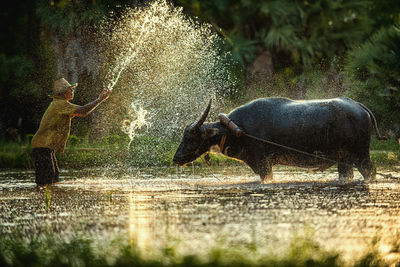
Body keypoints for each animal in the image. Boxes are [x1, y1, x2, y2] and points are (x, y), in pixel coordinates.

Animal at [173, 98, 386, 184]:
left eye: (190, 137)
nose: (176, 158)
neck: (238, 129)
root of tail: (359, 107)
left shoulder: (263, 163)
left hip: (361, 156)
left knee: (370, 172)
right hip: (344, 161)